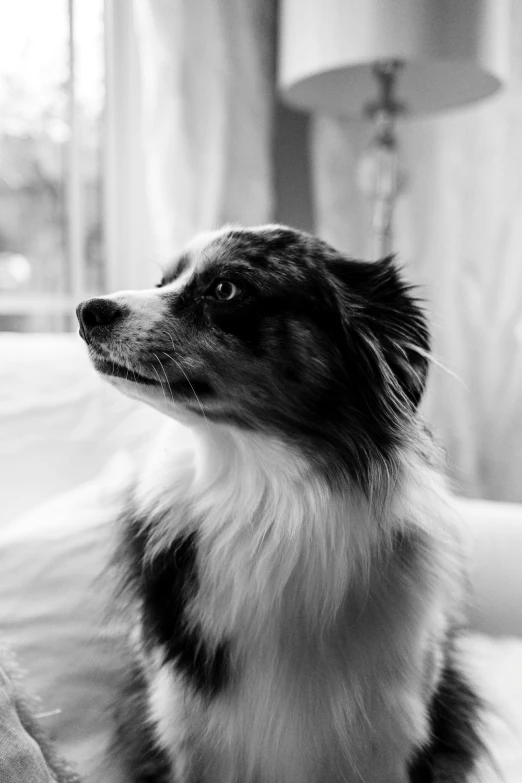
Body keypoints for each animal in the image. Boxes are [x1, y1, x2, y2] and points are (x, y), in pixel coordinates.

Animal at [75, 225, 482, 783]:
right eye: (164, 281)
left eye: (226, 289)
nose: (86, 310)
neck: (265, 498)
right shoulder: (188, 729)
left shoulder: (390, 731)